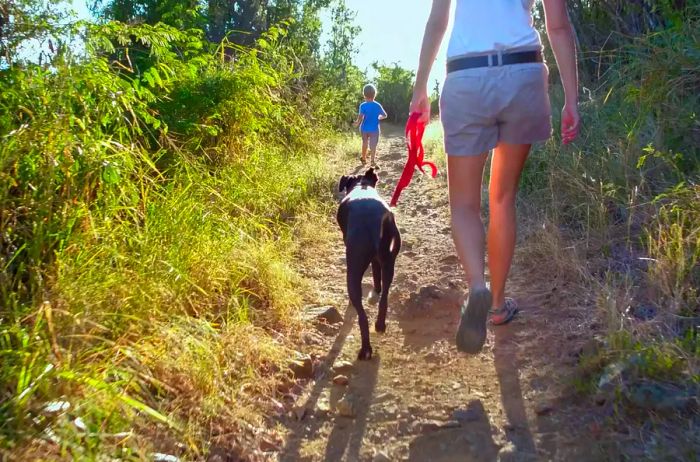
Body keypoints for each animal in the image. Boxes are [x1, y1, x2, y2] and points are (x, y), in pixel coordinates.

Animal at [338, 168, 402, 360]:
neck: (362, 185)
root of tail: (376, 223)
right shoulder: (378, 260)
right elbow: (376, 274)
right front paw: (376, 289)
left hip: (352, 273)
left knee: (362, 317)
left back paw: (365, 348)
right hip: (389, 264)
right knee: (385, 297)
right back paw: (380, 324)